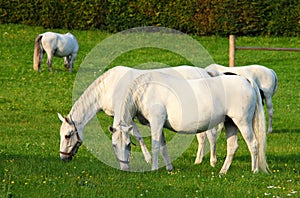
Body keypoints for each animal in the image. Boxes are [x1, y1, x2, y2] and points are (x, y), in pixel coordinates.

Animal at [56, 65, 211, 162]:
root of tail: (205, 73)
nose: (63, 158)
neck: (107, 88)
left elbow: (137, 136)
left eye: (67, 135)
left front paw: (148, 159)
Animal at [109, 71, 268, 173]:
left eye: (128, 145)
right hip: (230, 123)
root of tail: (245, 80)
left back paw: (254, 170)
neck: (145, 90)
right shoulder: (158, 125)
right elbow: (163, 146)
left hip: (243, 123)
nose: (124, 169)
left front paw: (154, 169)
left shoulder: (156, 122)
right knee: (232, 147)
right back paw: (223, 171)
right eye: (114, 145)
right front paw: (169, 168)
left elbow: (155, 146)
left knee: (253, 144)